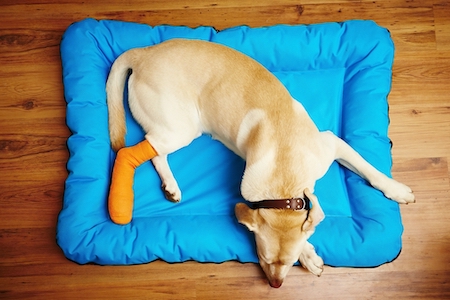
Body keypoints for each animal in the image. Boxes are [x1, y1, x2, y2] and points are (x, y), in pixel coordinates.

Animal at [105, 38, 414, 288]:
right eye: (264, 258)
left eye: (289, 262)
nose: (275, 285)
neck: (284, 181)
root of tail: (143, 53)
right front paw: (310, 254)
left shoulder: (332, 144)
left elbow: (369, 169)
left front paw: (395, 189)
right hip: (180, 126)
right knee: (141, 150)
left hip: (177, 129)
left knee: (155, 150)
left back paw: (170, 186)